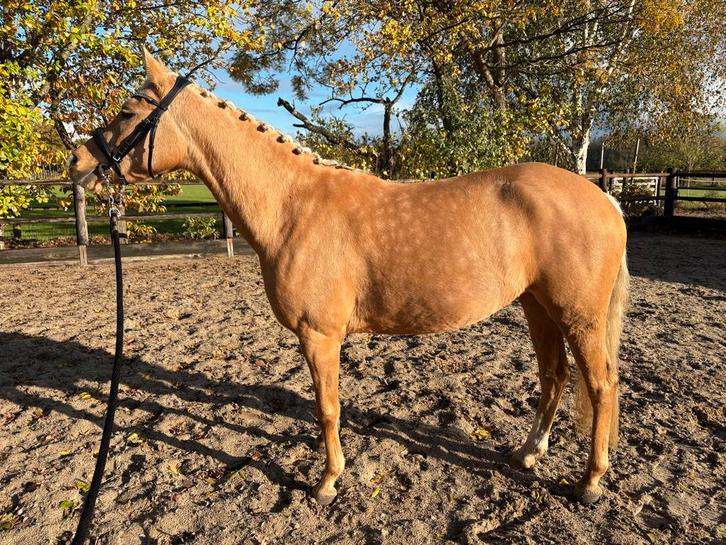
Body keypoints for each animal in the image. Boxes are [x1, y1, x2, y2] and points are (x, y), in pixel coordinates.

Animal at [69, 50, 628, 507]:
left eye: (127, 112)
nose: (78, 160)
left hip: (578, 315)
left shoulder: (319, 336)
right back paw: (527, 454)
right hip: (538, 306)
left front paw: (327, 482)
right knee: (554, 377)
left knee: (601, 384)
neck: (293, 206)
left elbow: (327, 410)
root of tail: (604, 197)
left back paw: (590, 483)